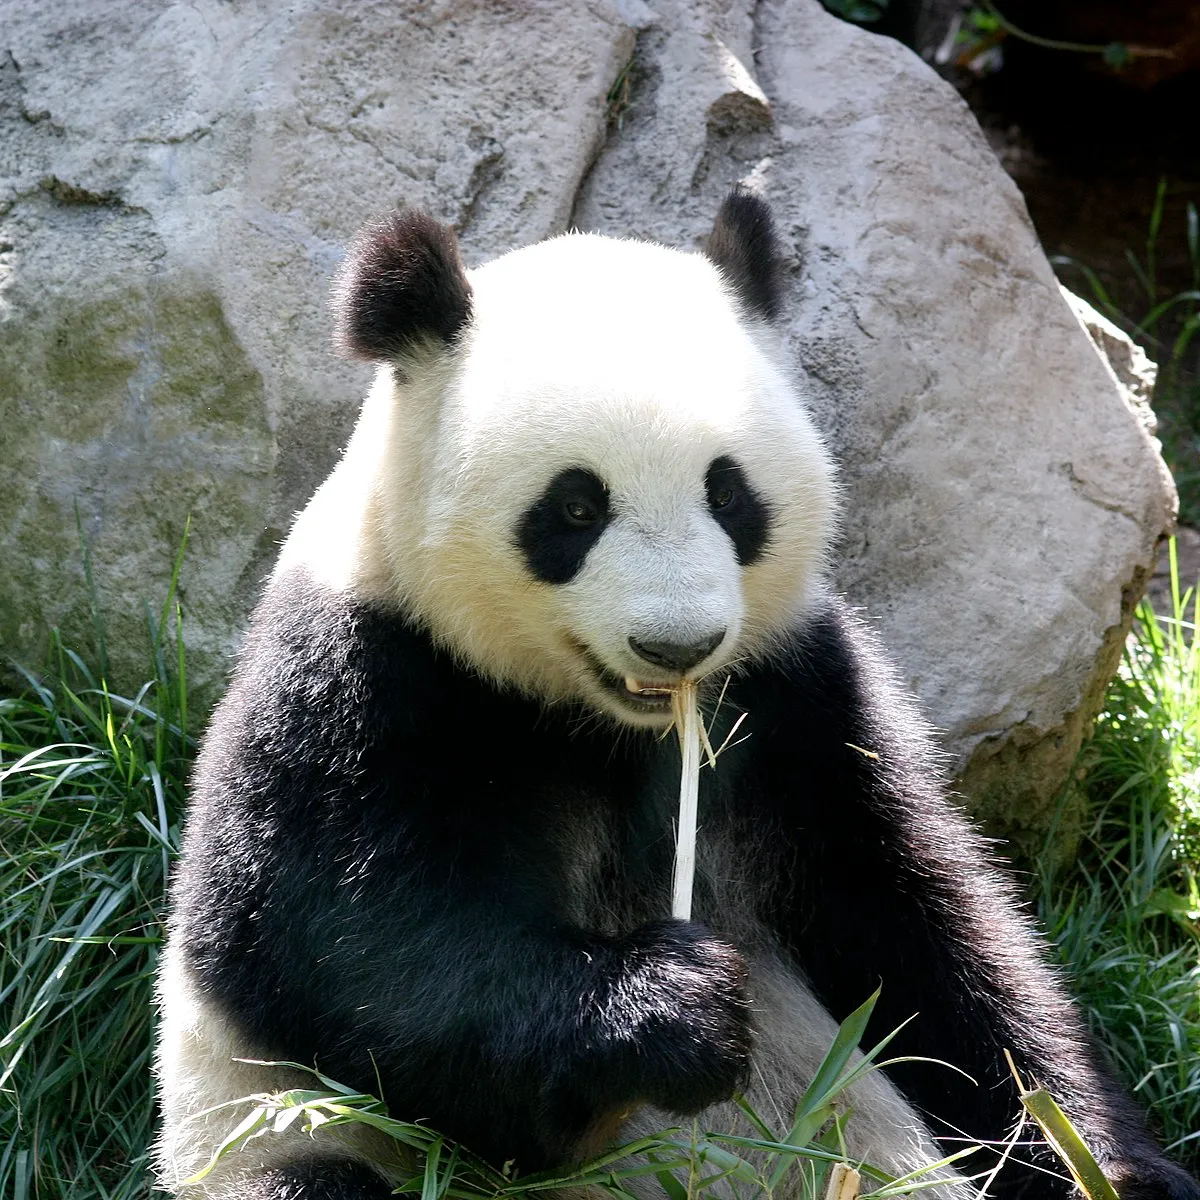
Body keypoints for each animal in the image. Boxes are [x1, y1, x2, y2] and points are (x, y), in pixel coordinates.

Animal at [154, 192, 1200, 1200]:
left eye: (729, 495)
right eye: (575, 508)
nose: (679, 643)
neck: (605, 723)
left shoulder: (801, 697)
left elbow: (927, 943)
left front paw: (1102, 1163)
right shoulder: (368, 681)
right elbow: (338, 952)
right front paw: (674, 1008)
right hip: (275, 1138)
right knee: (313, 1174)